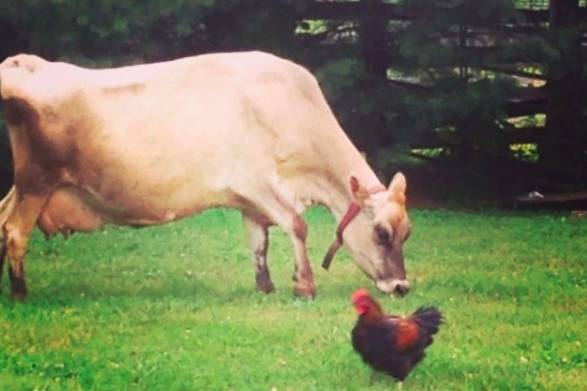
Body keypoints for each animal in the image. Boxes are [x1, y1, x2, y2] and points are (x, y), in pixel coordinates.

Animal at [0, 52, 414, 302]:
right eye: (381, 233)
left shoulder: (249, 201)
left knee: (3, 221)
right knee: (16, 231)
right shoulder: (258, 183)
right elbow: (297, 226)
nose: (401, 286)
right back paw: (20, 293)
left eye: (407, 233)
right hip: (38, 180)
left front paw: (266, 286)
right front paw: (304, 286)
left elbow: (259, 243)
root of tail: (26, 63)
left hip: (24, 185)